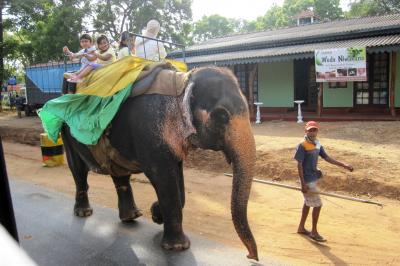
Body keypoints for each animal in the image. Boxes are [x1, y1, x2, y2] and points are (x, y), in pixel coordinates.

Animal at [60, 65, 258, 260]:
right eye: (222, 116)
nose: (250, 256)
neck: (182, 82)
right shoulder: (149, 133)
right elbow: (162, 179)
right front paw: (177, 247)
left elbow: (178, 182)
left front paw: (156, 214)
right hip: (66, 133)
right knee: (77, 169)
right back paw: (84, 213)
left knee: (119, 174)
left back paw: (131, 217)